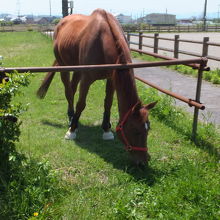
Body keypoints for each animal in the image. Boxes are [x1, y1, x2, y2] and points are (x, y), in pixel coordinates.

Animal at [37, 9, 156, 165]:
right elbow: (81, 104)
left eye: (148, 128)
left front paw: (106, 130)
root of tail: (61, 23)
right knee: (68, 92)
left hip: (77, 70)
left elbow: (108, 103)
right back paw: (71, 119)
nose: (143, 161)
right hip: (64, 67)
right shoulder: (86, 79)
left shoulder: (111, 79)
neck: (103, 42)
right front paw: (71, 131)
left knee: (72, 89)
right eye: (136, 130)